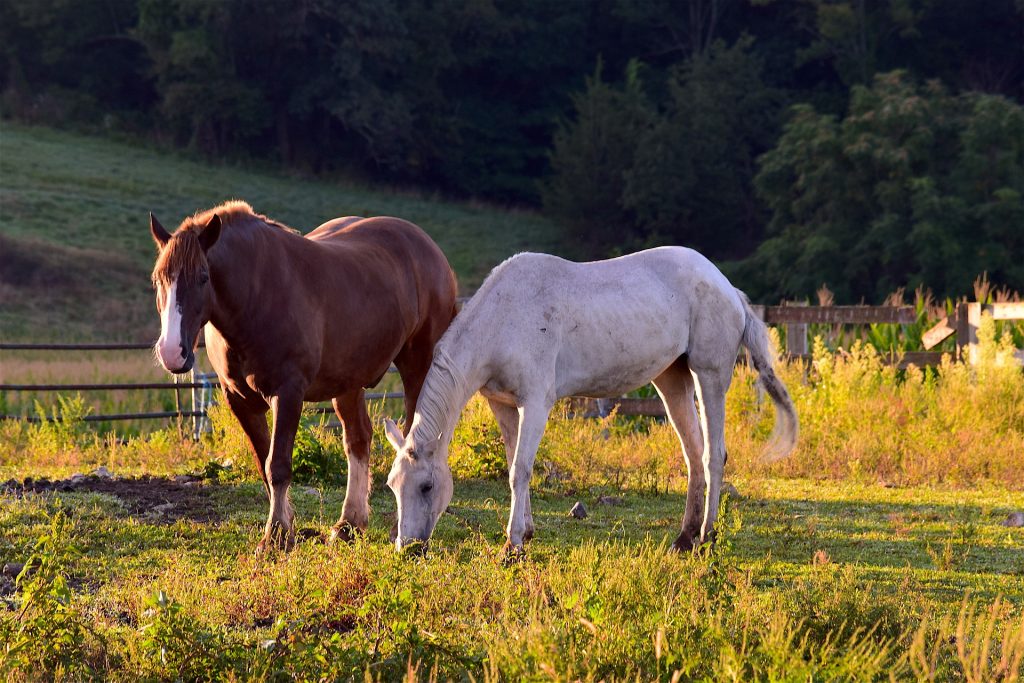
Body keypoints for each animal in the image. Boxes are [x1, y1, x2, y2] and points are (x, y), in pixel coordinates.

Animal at [149, 201, 457, 551]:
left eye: (203, 278)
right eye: (158, 280)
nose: (172, 352)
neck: (256, 295)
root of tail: (429, 248)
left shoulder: (288, 393)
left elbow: (278, 465)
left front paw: (275, 537)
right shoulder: (240, 400)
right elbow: (264, 463)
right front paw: (287, 530)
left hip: (418, 365)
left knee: (410, 438)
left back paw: (396, 528)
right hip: (348, 383)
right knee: (358, 439)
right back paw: (350, 524)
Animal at [383, 246, 798, 555]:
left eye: (426, 487)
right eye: (391, 485)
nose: (408, 548)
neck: (504, 317)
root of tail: (728, 288)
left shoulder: (536, 403)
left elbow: (521, 469)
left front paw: (512, 545)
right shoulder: (503, 405)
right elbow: (515, 462)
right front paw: (526, 532)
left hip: (709, 375)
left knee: (713, 456)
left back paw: (708, 537)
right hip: (672, 380)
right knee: (694, 455)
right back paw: (684, 538)